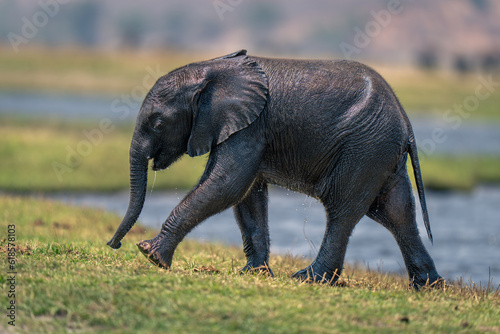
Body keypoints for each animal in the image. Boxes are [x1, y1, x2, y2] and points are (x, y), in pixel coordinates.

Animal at [108, 51, 442, 288]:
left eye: (158, 123)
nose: (114, 244)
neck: (212, 69)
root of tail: (406, 123)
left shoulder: (251, 125)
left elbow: (227, 184)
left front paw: (150, 255)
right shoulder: (248, 127)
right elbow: (247, 196)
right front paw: (254, 274)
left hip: (364, 148)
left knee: (343, 210)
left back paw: (309, 279)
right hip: (381, 154)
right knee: (395, 213)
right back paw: (428, 287)